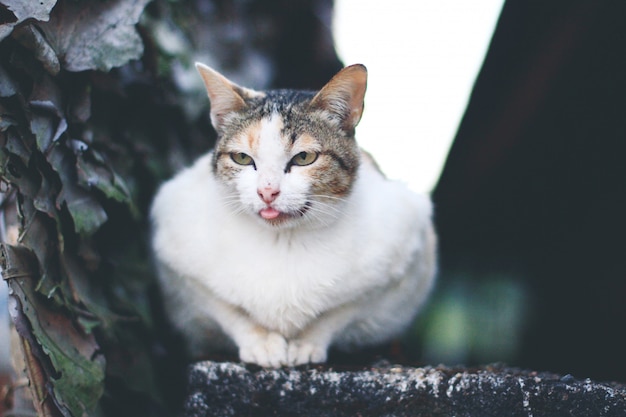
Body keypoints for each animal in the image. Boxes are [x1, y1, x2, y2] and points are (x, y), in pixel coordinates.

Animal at [149, 60, 436, 366]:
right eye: (242, 158)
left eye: (304, 158)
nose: (267, 192)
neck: (283, 241)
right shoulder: (178, 259)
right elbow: (226, 309)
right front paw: (261, 342)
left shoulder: (403, 255)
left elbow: (341, 311)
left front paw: (306, 343)